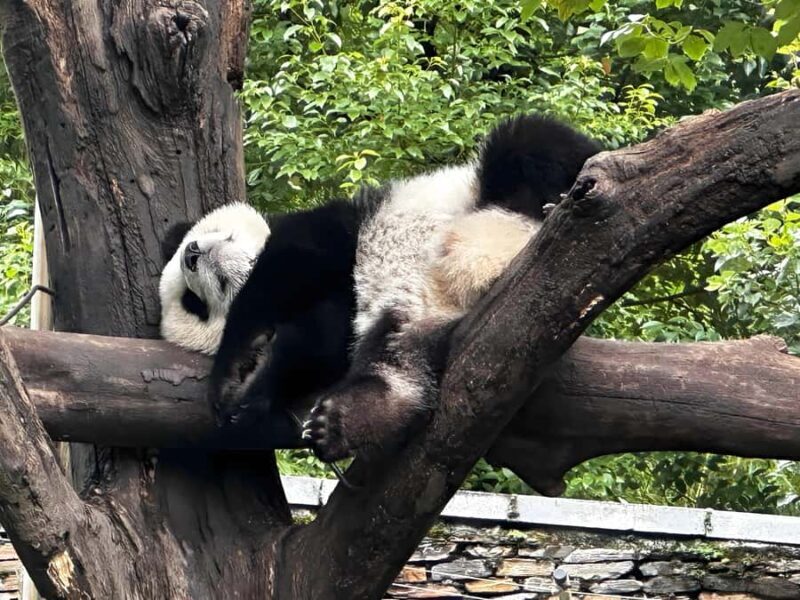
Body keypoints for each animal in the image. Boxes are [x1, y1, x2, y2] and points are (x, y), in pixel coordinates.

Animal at [161, 115, 600, 457]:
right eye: (194, 303)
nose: (192, 254)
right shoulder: (347, 299)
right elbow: (321, 342)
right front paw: (252, 392)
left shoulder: (330, 235)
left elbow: (287, 275)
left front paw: (231, 379)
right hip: (407, 313)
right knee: (393, 361)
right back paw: (344, 422)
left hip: (490, 190)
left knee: (529, 143)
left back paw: (557, 200)